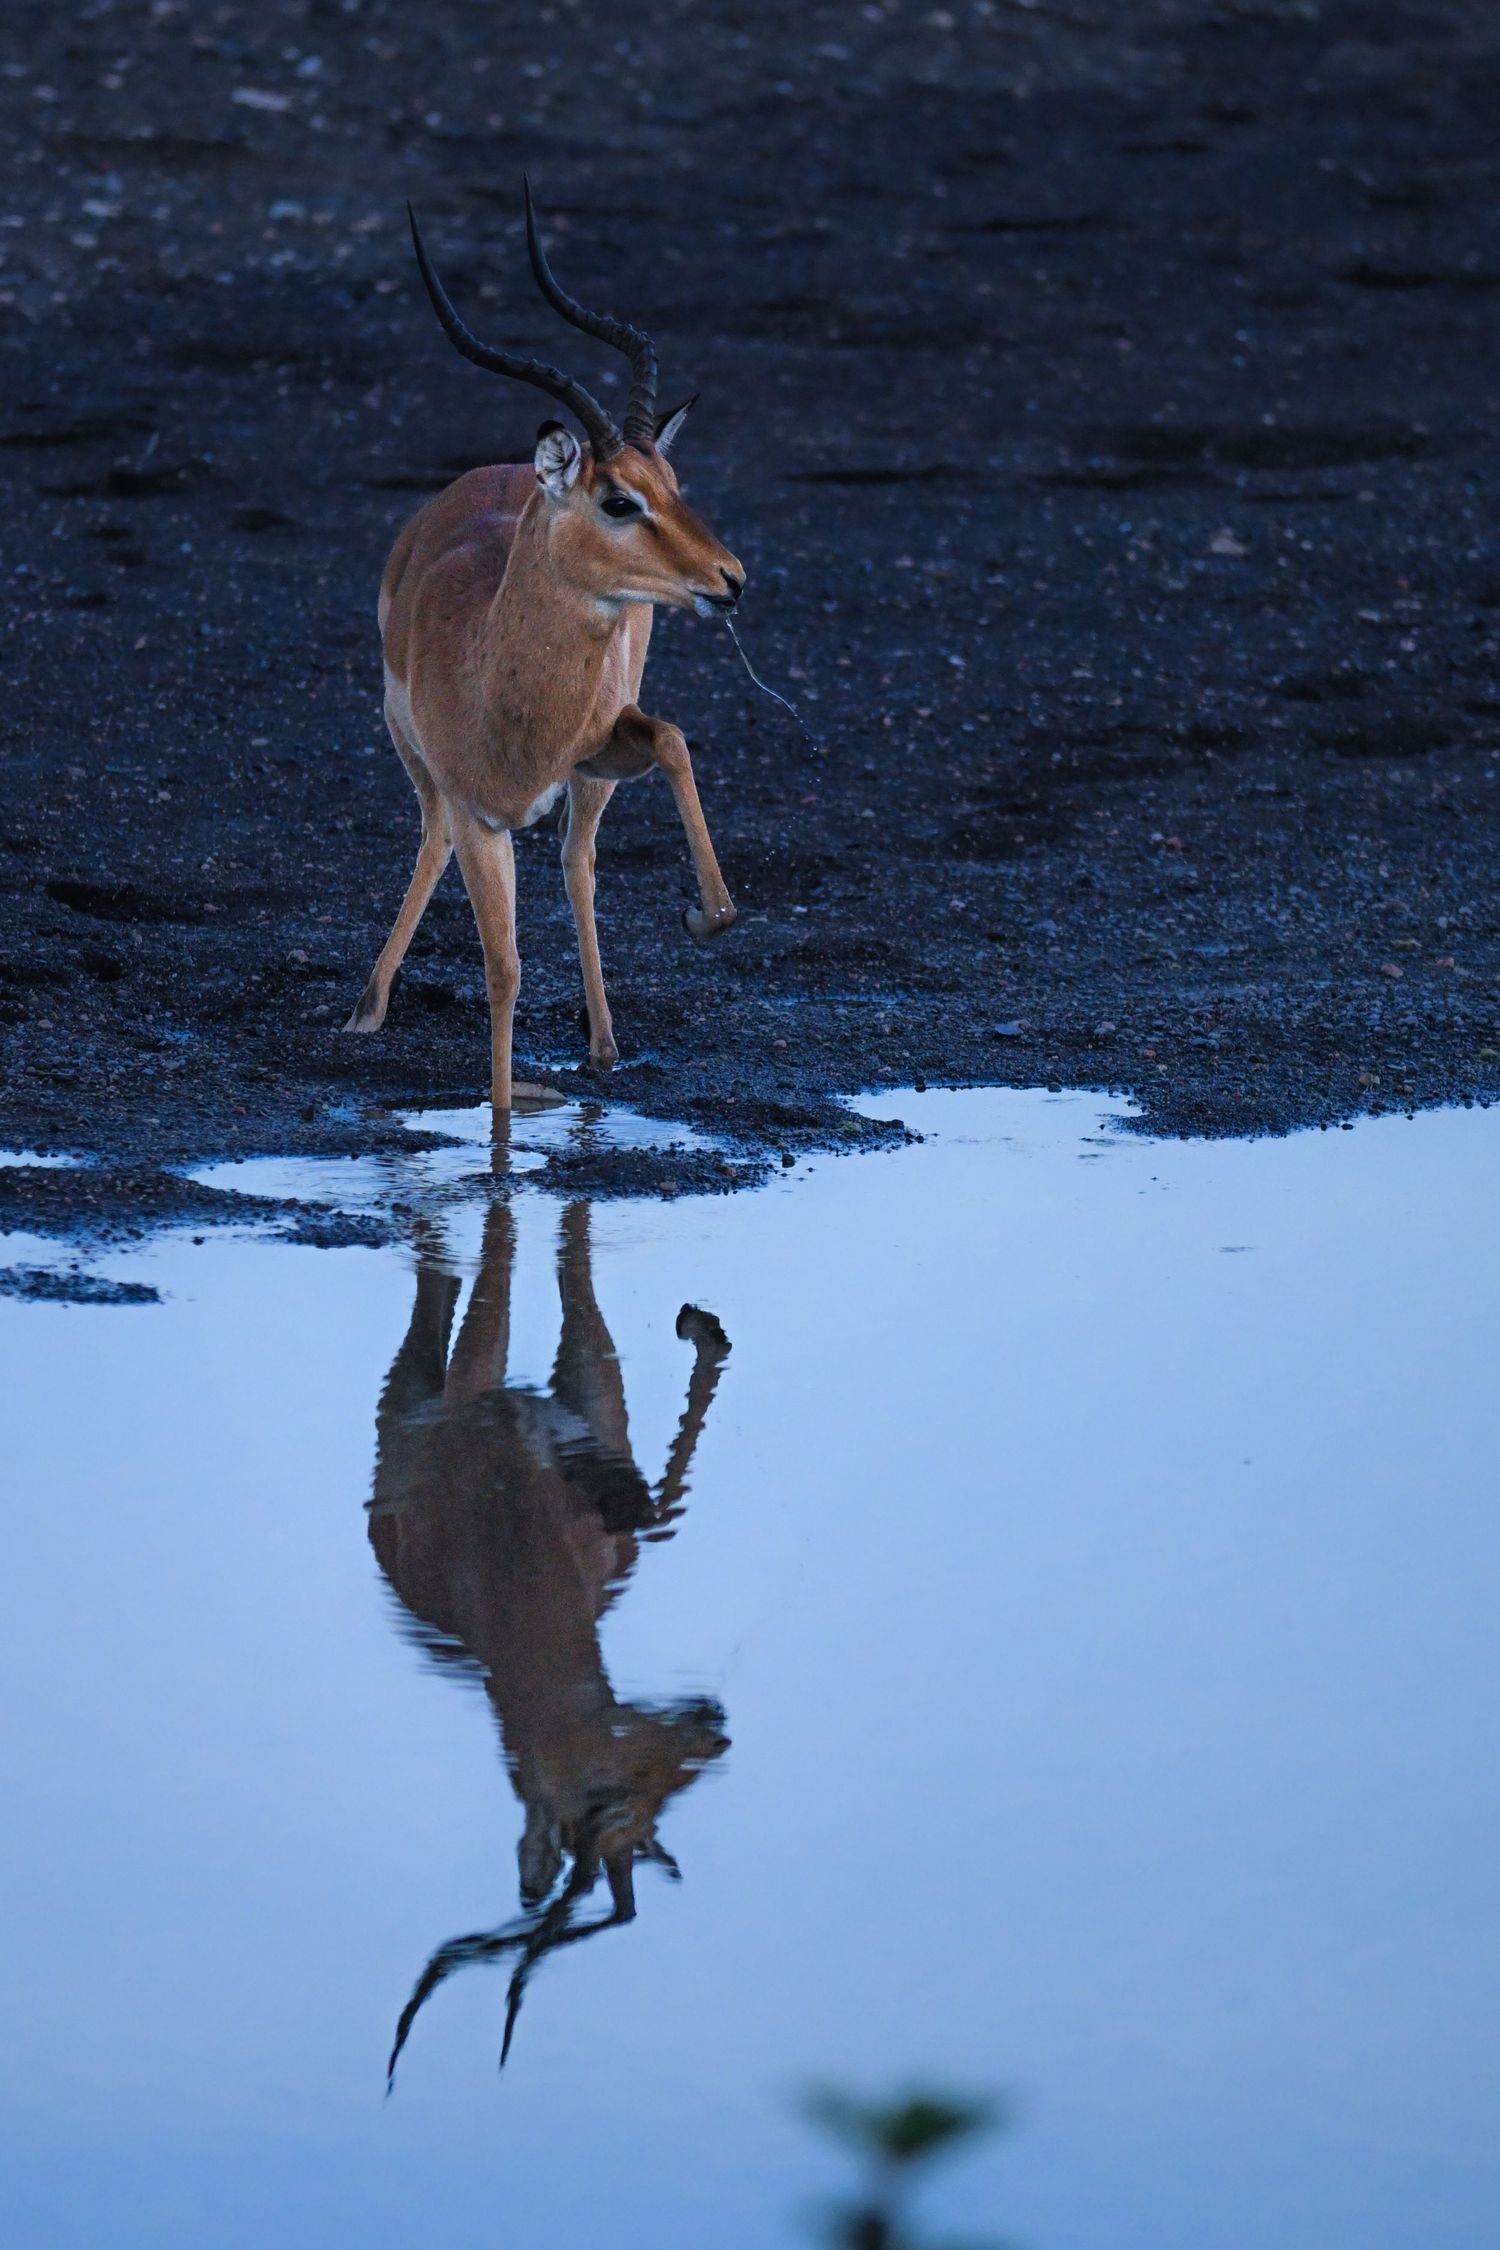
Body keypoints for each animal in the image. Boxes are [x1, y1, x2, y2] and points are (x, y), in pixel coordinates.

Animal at [344, 185, 744, 1122]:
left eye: (674, 486)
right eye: (619, 498)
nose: (730, 578)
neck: (500, 680)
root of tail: (496, 471)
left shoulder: (599, 742)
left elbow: (670, 738)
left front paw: (709, 915)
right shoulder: (478, 815)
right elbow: (503, 969)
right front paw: (496, 1130)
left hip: (590, 771)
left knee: (577, 861)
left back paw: (603, 1046)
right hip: (409, 747)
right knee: (431, 837)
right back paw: (368, 1008)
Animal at [369, 1198, 732, 2077]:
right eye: (613, 1805)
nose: (713, 1733)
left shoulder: (593, 1410)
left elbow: (658, 1513)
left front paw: (704, 1324)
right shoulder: (486, 1388)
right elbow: (505, 1245)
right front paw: (701, 1323)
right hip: (411, 1394)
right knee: (449, 1281)